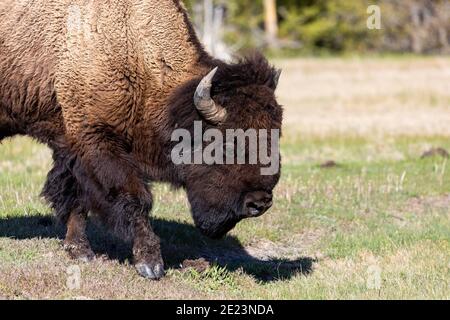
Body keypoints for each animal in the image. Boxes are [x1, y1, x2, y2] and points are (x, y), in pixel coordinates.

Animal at [0, 0, 282, 278]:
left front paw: (80, 251)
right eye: (226, 145)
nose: (259, 203)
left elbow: (76, 199)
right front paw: (150, 264)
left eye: (275, 137)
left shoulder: (72, 146)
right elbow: (134, 198)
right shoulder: (98, 143)